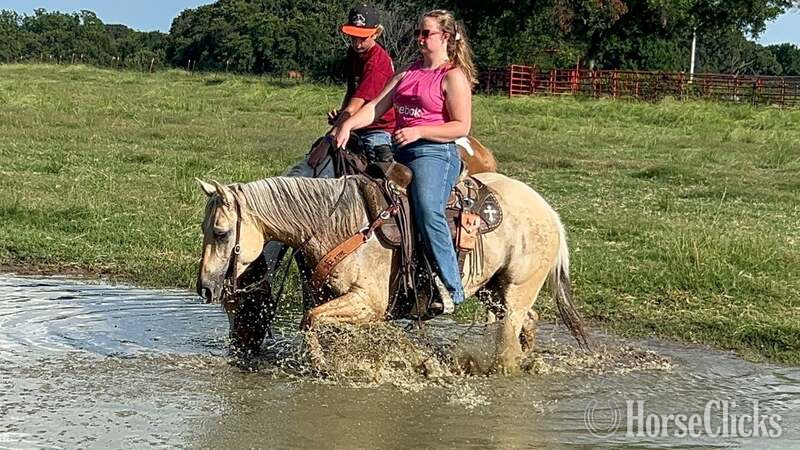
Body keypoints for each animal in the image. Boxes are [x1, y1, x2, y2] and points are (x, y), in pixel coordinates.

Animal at [195, 173, 591, 372]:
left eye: (221, 232)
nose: (205, 289)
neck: (337, 224)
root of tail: (549, 211)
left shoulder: (367, 303)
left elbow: (310, 320)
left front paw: (322, 365)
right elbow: (322, 325)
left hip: (516, 290)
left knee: (510, 336)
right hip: (494, 290)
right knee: (529, 322)